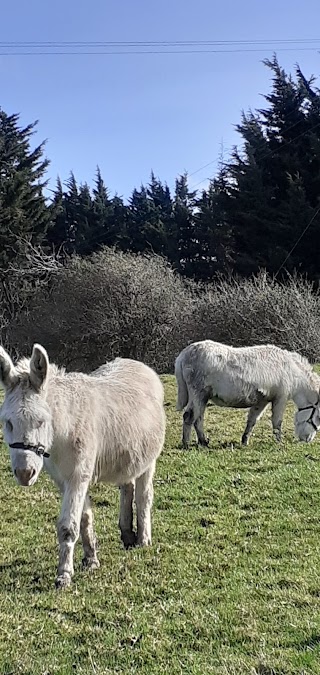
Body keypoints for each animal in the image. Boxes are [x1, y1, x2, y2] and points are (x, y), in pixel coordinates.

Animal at [0, 346, 166, 588]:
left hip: (148, 460)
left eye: (41, 421)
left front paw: (64, 575)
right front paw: (91, 559)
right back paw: (127, 534)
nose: (24, 474)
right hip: (129, 454)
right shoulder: (64, 479)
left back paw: (143, 539)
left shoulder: (78, 476)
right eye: (8, 423)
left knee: (144, 496)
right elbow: (84, 518)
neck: (63, 428)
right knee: (127, 487)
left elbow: (68, 526)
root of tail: (136, 363)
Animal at [175, 344, 320, 448]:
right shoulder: (280, 398)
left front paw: (245, 440)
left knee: (197, 418)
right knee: (190, 416)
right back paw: (187, 444)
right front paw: (279, 442)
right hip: (198, 394)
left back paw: (202, 442)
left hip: (202, 397)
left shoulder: (262, 401)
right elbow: (277, 421)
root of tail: (184, 354)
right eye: (318, 417)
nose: (307, 440)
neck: (292, 371)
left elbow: (252, 420)